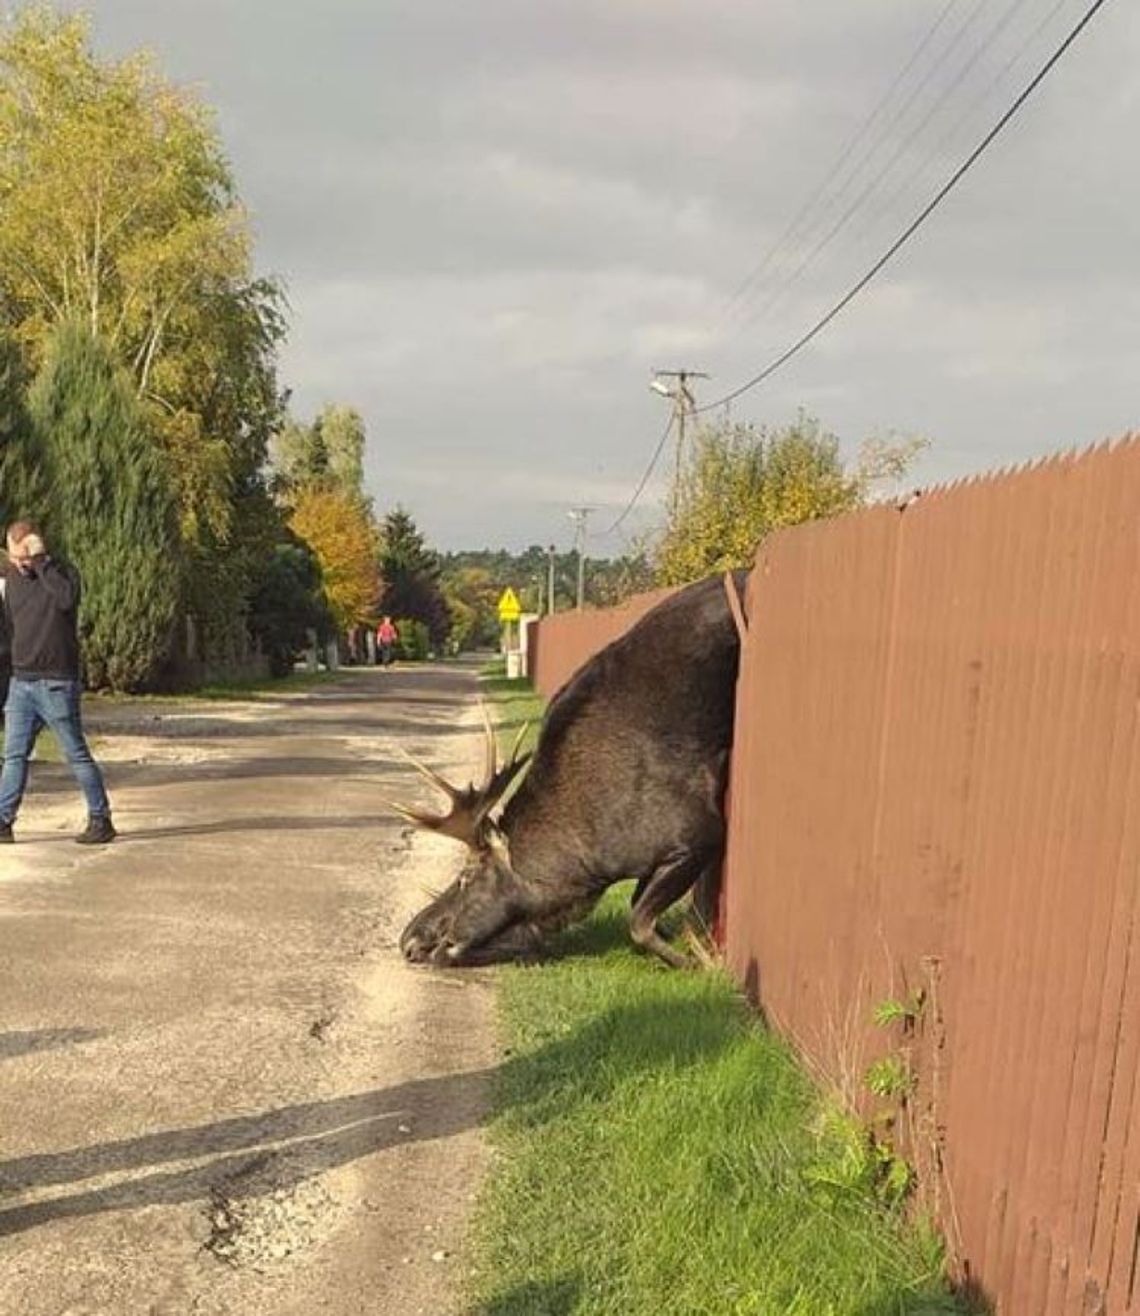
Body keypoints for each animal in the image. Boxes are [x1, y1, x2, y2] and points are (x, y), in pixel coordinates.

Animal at [392, 573, 747, 968]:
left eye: (466, 877)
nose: (409, 937)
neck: (590, 865)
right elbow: (644, 910)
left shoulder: (699, 832)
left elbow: (638, 923)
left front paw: (699, 962)